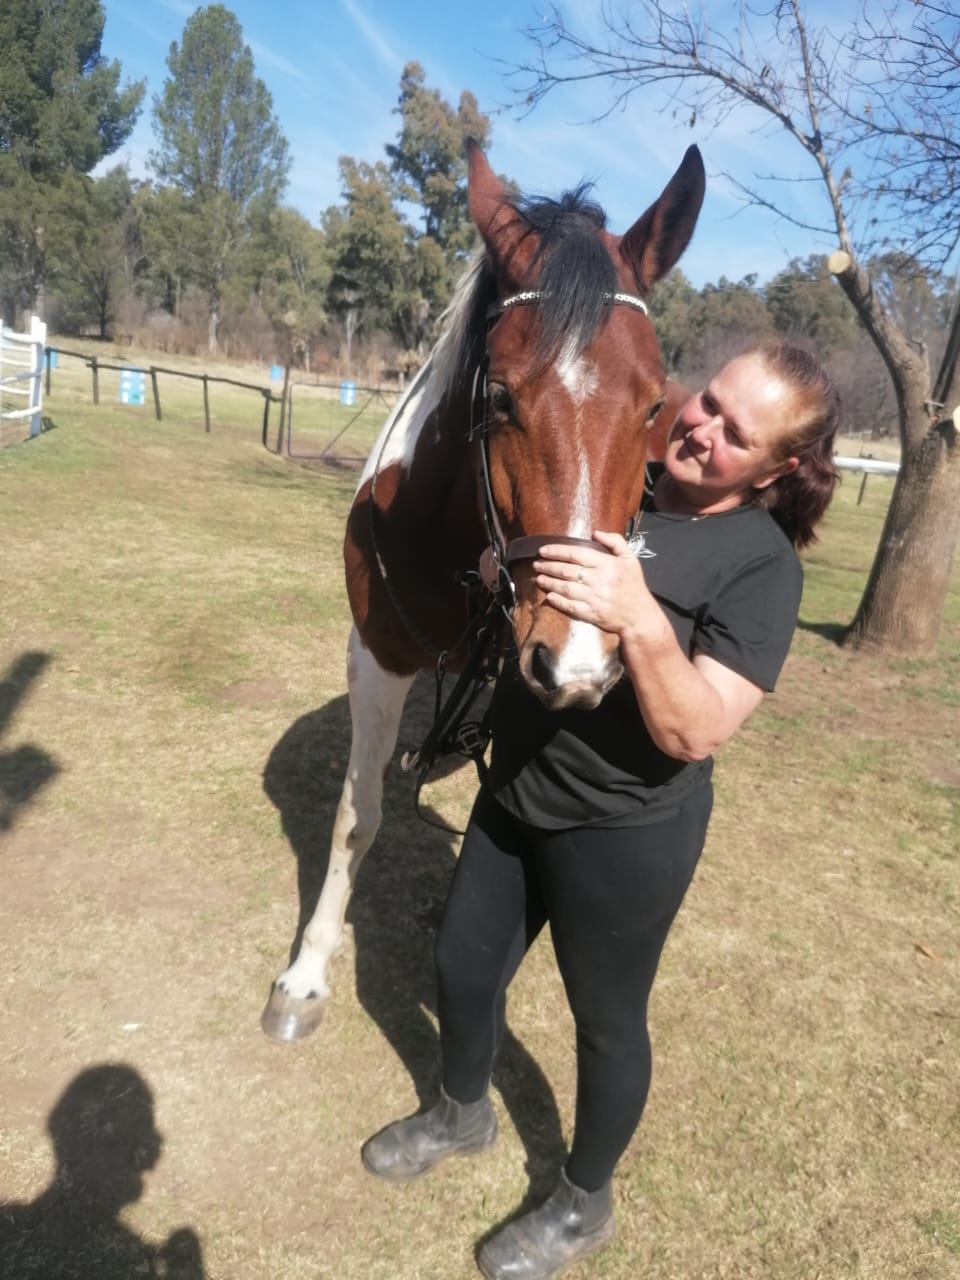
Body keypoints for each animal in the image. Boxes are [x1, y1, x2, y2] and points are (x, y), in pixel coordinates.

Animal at [261, 139, 705, 1041]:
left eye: (652, 408)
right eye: (498, 395)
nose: (582, 667)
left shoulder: (521, 667)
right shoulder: (377, 657)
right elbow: (356, 817)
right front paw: (307, 973)